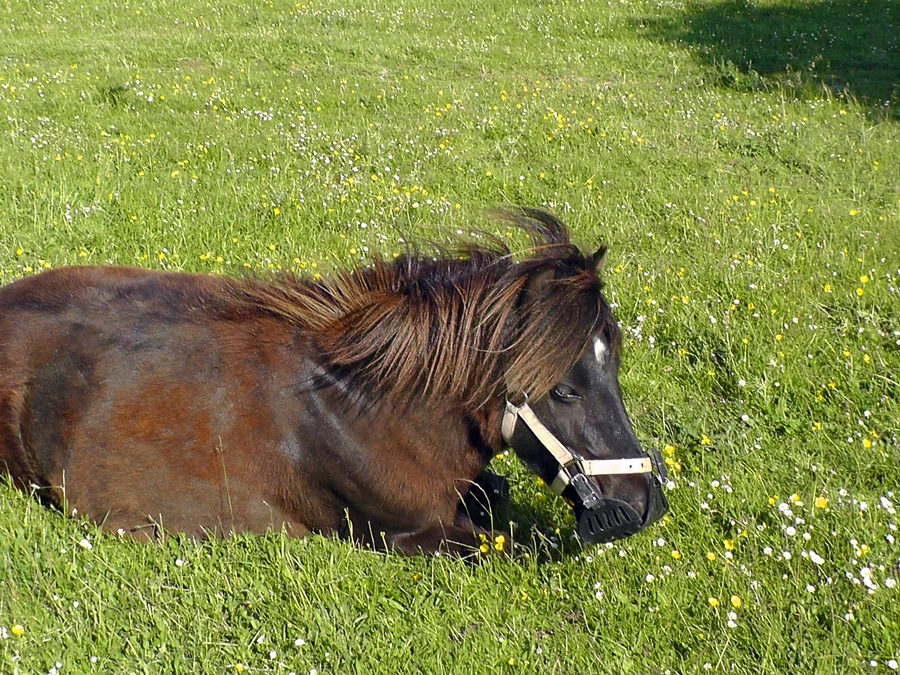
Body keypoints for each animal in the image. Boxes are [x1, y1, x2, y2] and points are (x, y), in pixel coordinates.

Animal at [0, 207, 668, 555]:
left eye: (613, 366)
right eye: (566, 390)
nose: (647, 506)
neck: (362, 403)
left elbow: (494, 493)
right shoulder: (413, 533)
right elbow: (503, 541)